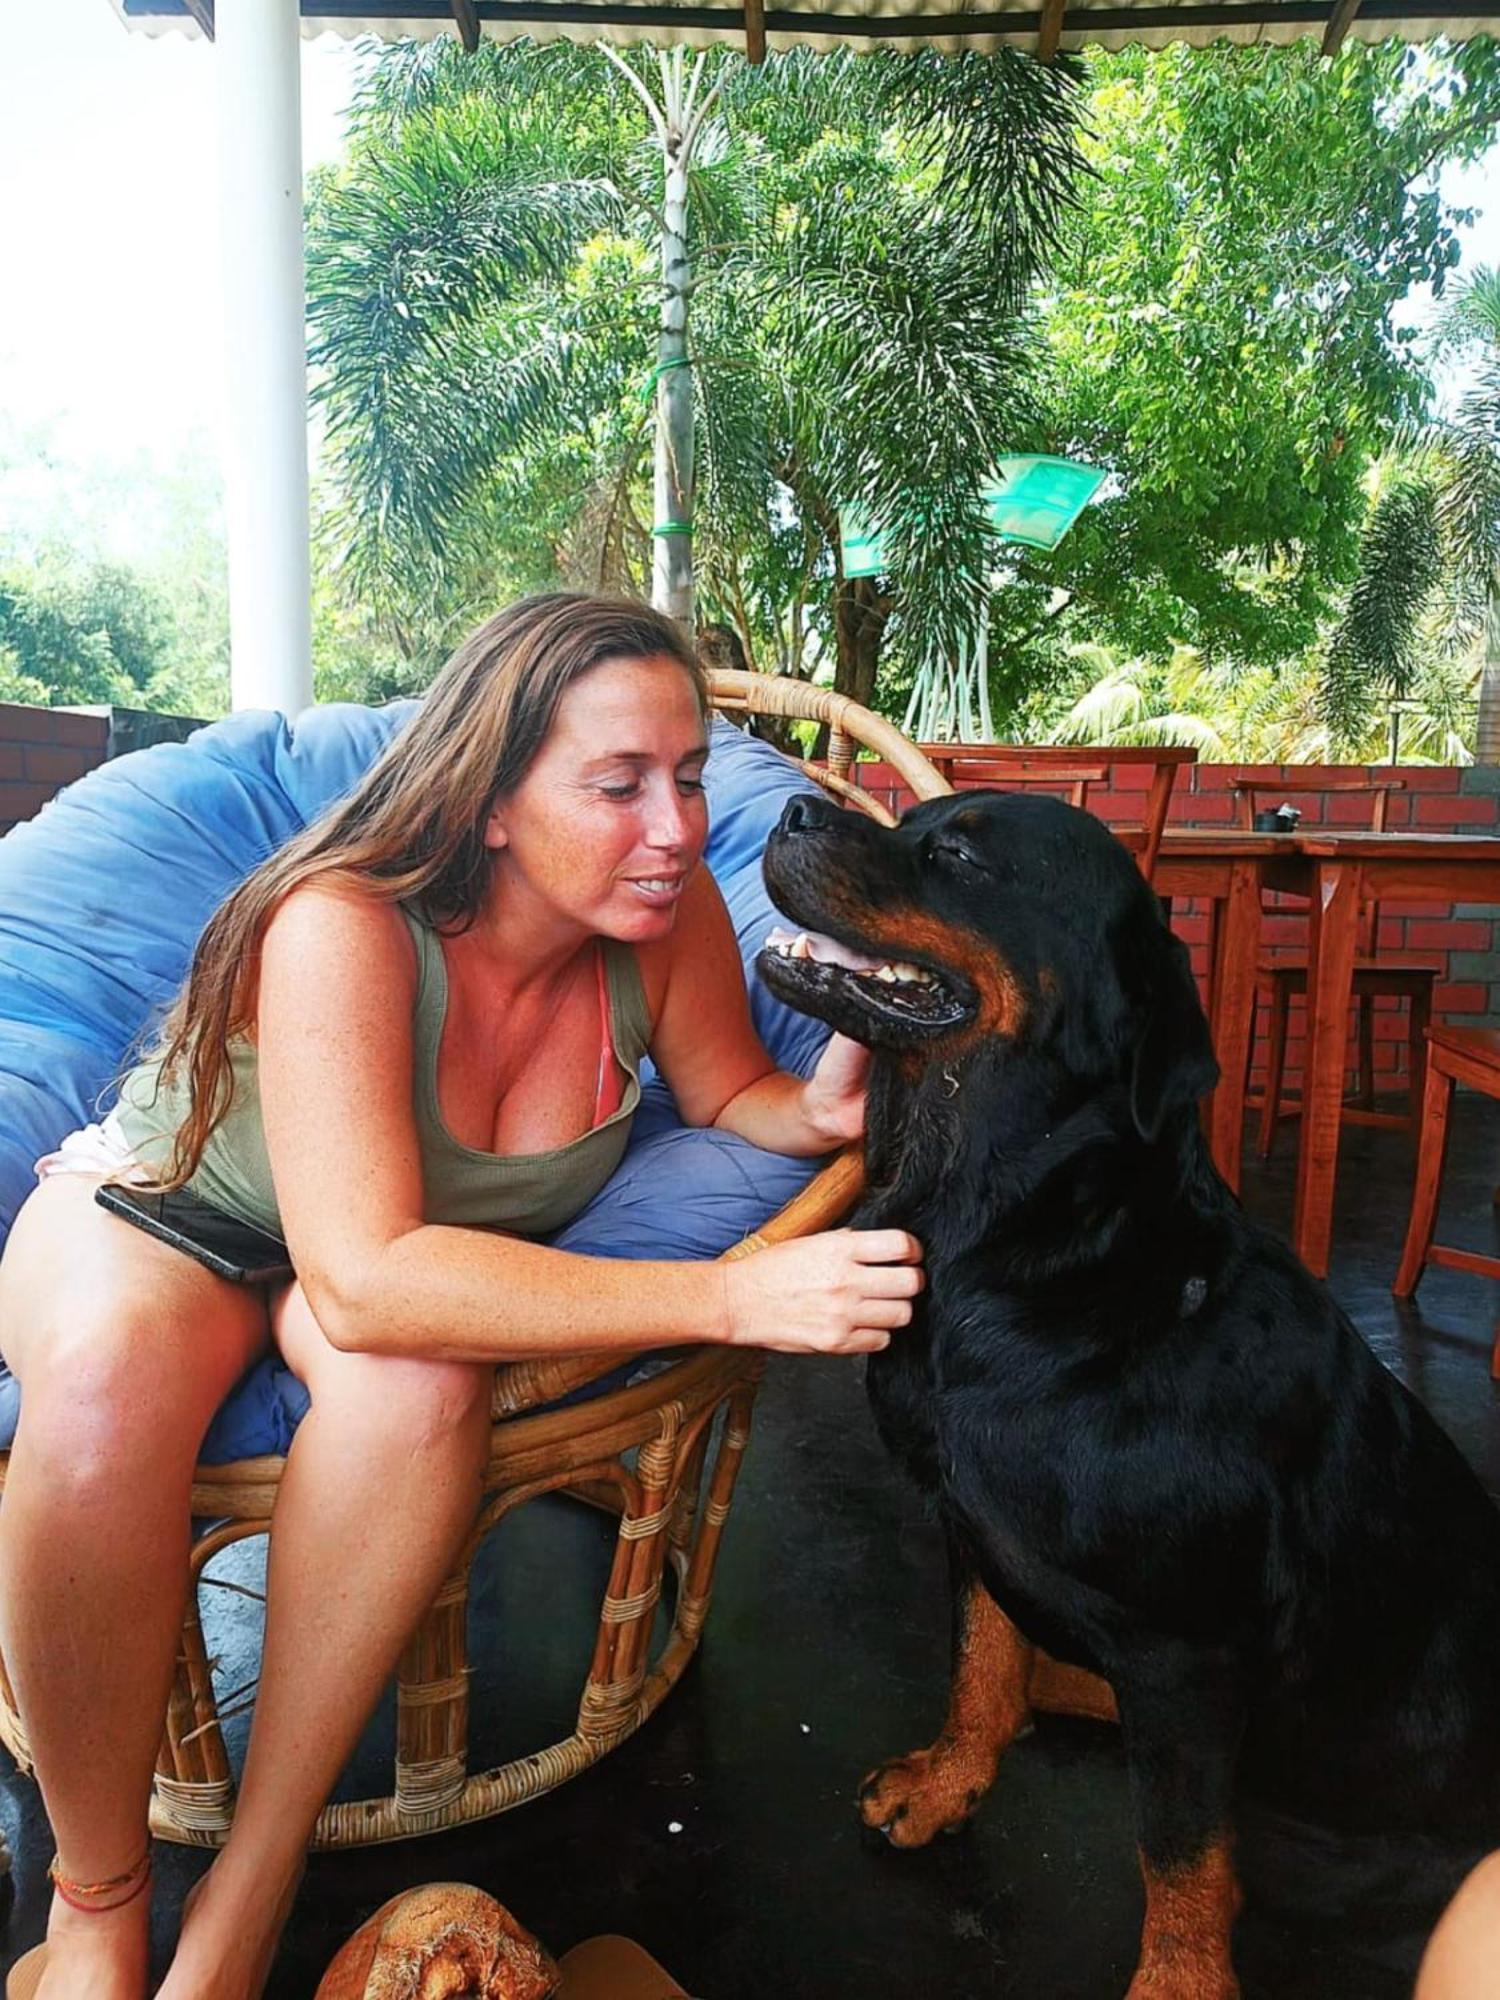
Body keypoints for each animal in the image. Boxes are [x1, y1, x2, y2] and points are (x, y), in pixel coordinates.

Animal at [764, 788, 1500, 2000]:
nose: (791, 806)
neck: (1014, 1246)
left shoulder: (1185, 1651)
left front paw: (1179, 1978)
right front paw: (950, 1781)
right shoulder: (971, 1528)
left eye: (954, 854)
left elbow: (1180, 1847)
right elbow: (979, 1665)